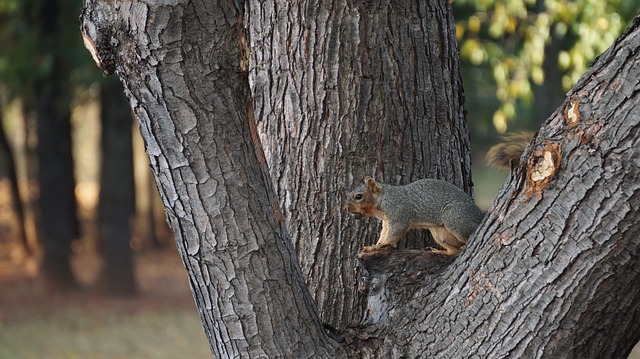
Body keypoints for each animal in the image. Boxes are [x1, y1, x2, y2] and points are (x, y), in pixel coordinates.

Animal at [344, 177, 484, 256]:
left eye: (358, 196)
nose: (345, 207)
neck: (384, 198)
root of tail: (479, 215)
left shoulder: (400, 213)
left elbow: (395, 233)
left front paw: (380, 245)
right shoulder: (387, 222)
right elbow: (384, 233)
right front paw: (374, 245)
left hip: (455, 219)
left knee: (468, 234)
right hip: (440, 234)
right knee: (454, 251)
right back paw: (439, 251)